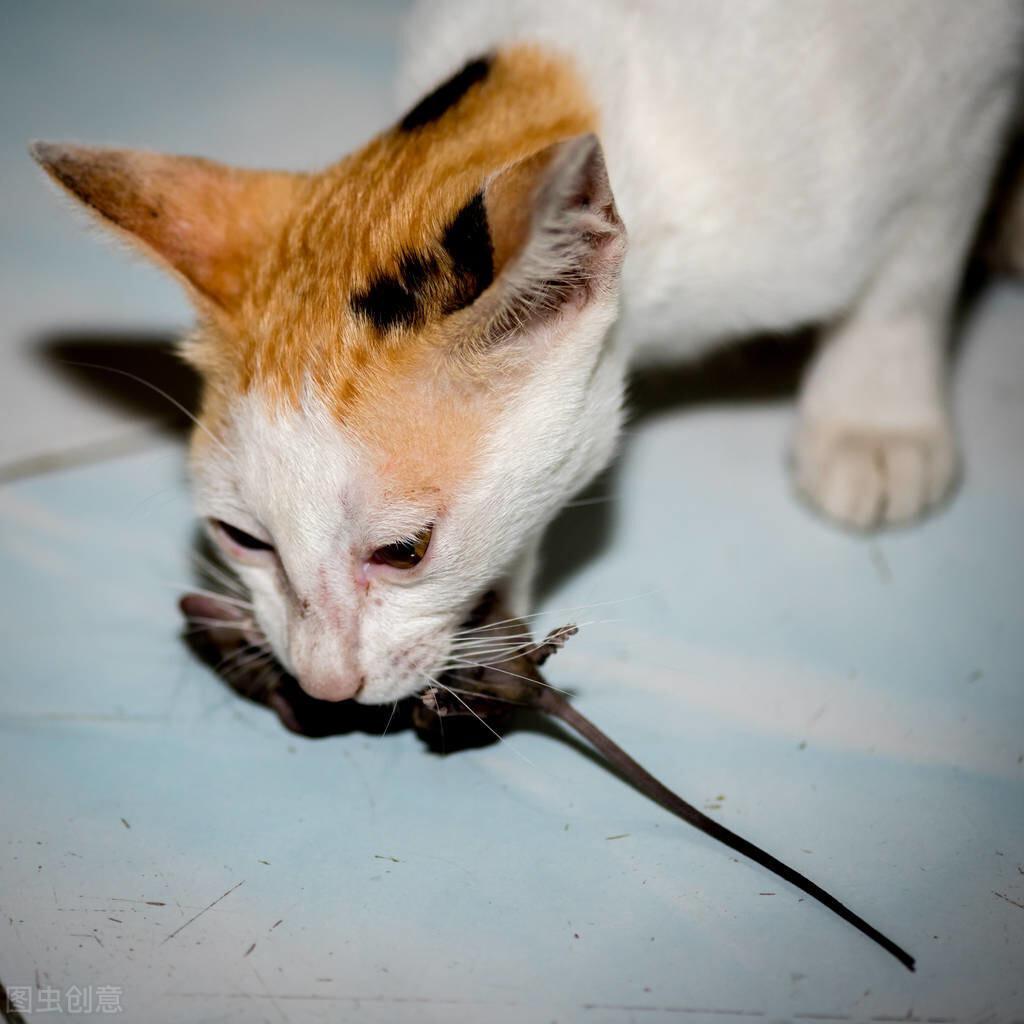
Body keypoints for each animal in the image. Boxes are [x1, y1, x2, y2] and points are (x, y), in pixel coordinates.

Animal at [32, 0, 1024, 704]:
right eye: (241, 537)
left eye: (404, 552)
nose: (323, 684)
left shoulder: (964, 101)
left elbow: (918, 261)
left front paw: (875, 417)